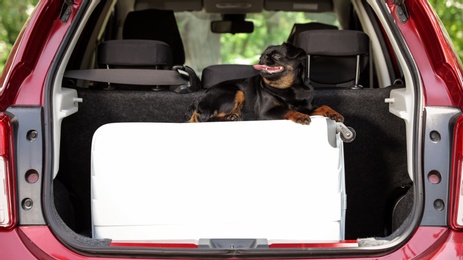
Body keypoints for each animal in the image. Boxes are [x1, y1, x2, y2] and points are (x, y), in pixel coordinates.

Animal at [187, 42, 342, 124]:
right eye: (262, 56)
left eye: (276, 56)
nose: (262, 58)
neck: (290, 87)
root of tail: (199, 100)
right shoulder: (266, 112)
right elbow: (287, 110)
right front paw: (300, 116)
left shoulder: (308, 107)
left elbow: (324, 106)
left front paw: (334, 113)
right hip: (236, 92)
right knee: (207, 119)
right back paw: (231, 117)